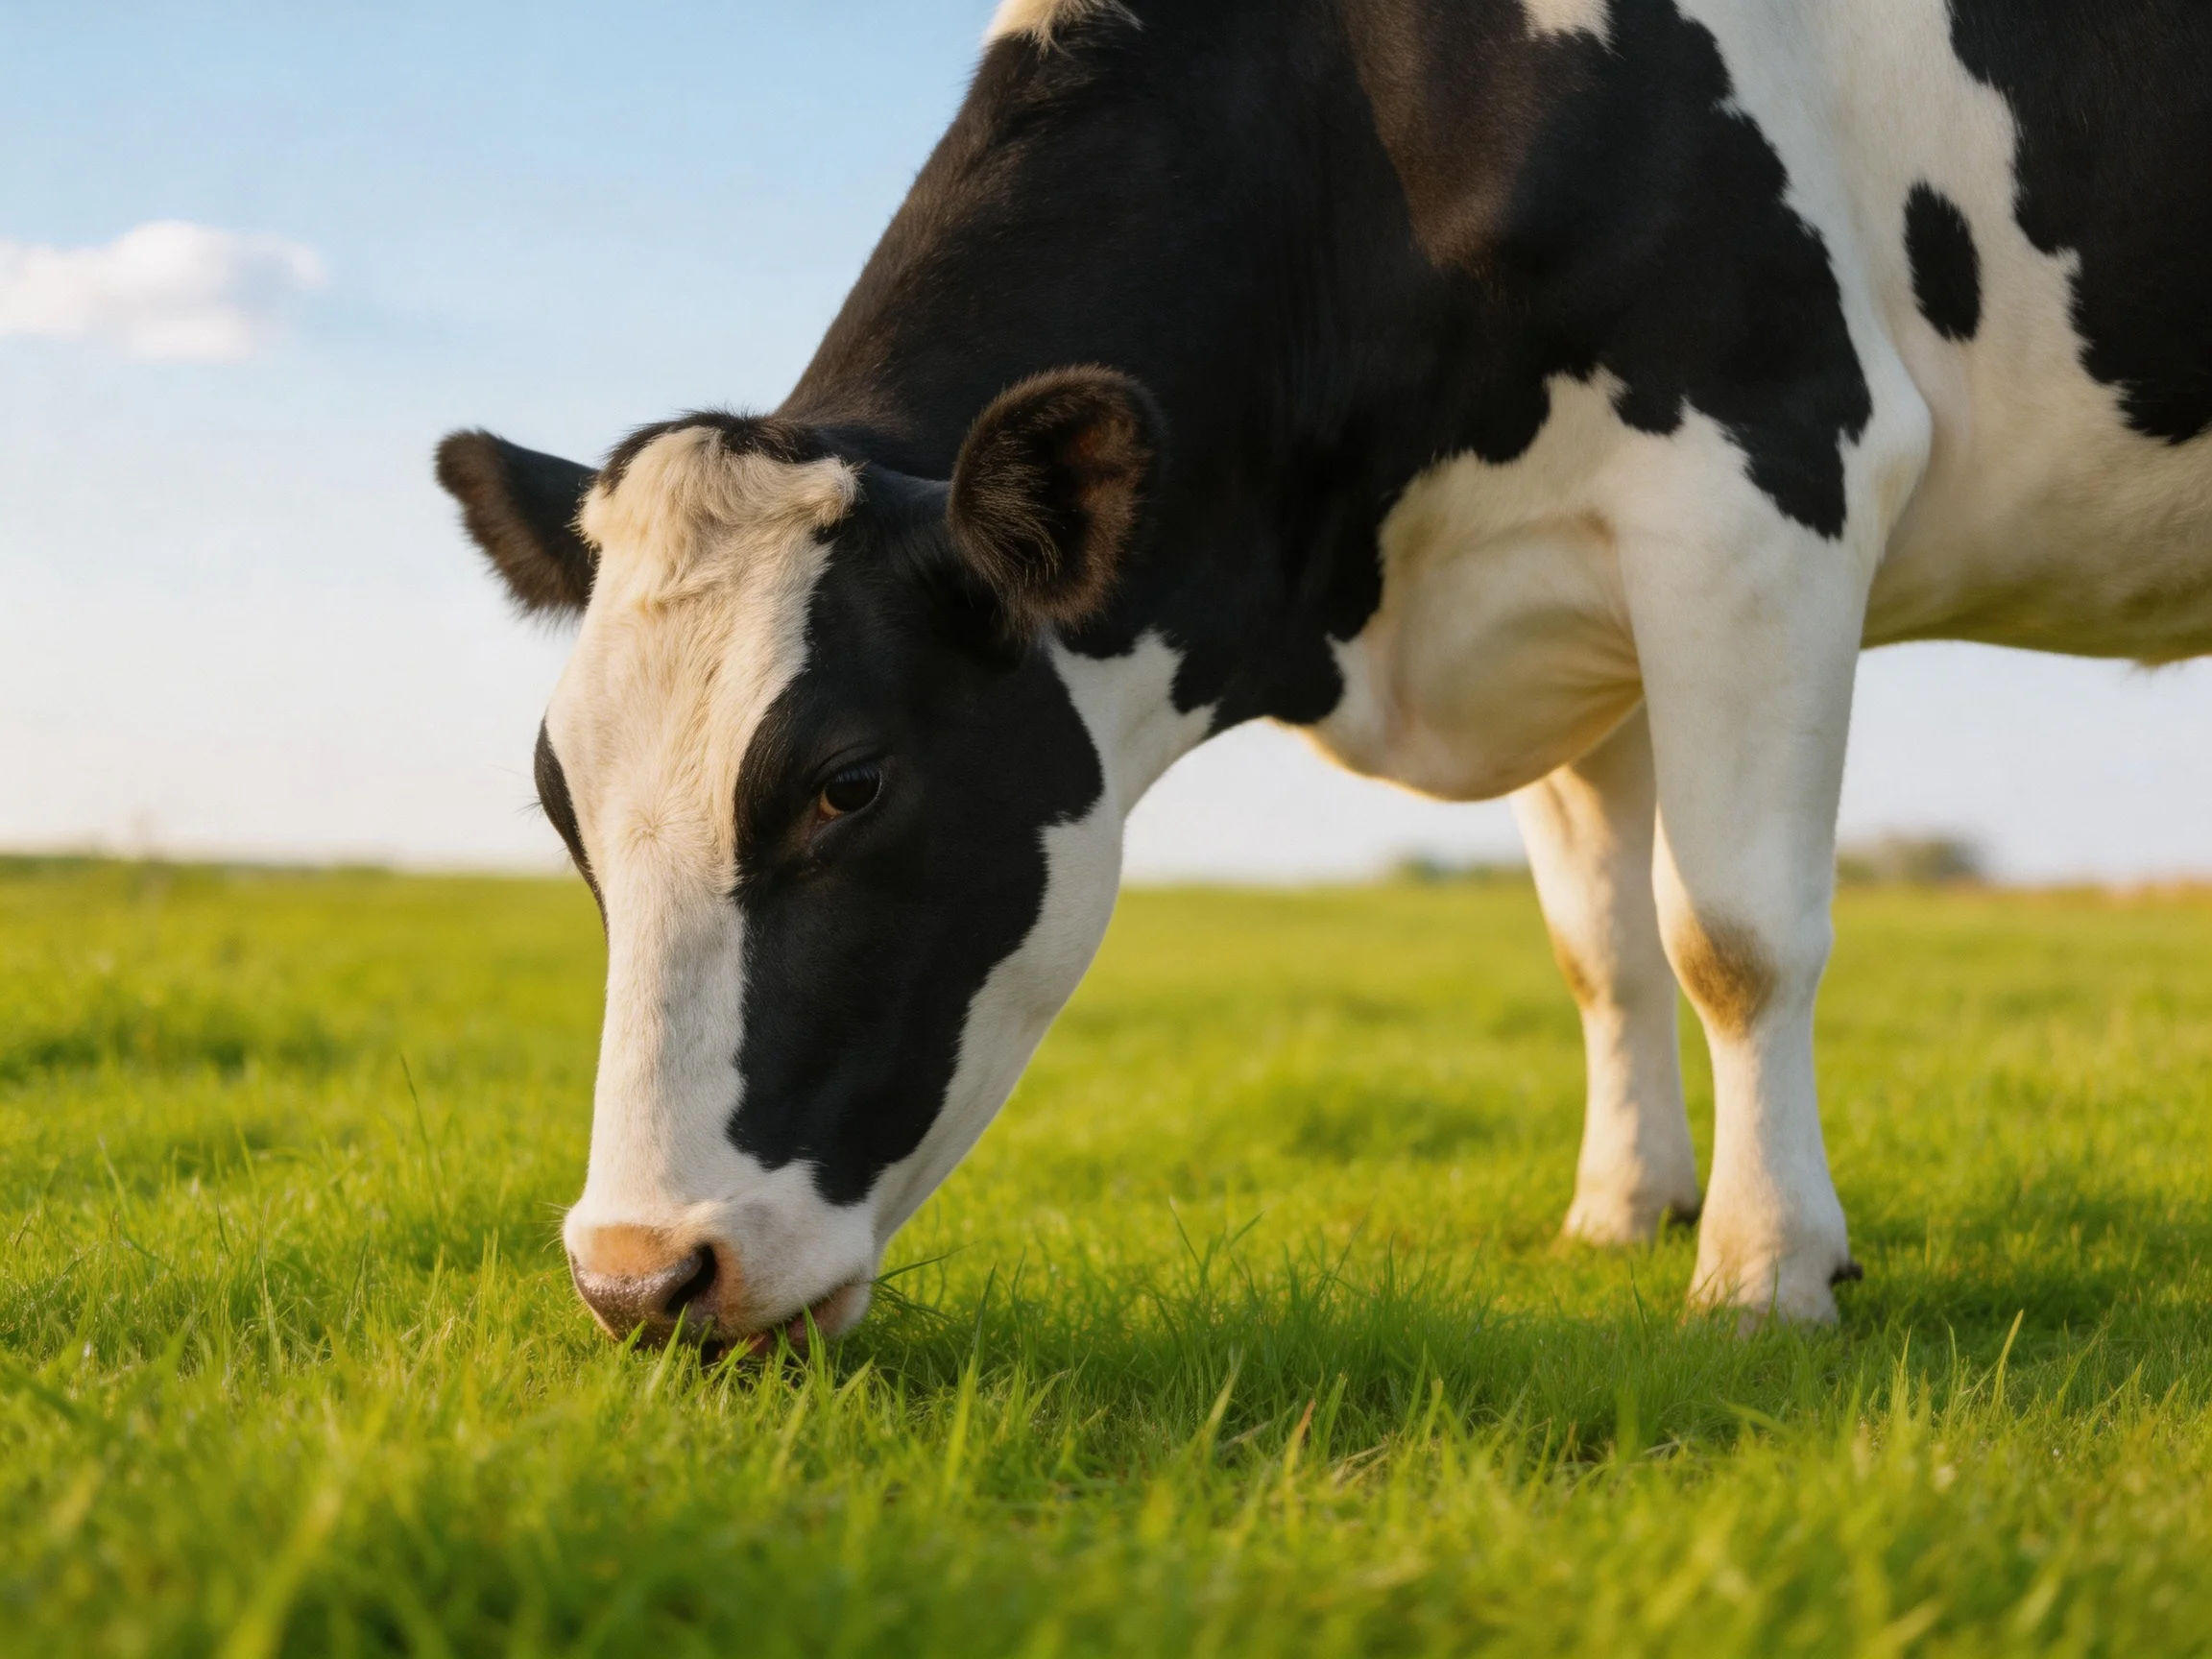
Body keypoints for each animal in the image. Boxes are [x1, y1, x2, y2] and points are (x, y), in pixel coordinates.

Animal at [435, 0, 2212, 1347]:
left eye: (848, 782)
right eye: (561, 809)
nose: (640, 1277)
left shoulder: (1759, 471)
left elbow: (1733, 934)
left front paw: (1765, 1274)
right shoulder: (1567, 597)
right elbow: (1605, 948)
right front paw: (1621, 1212)